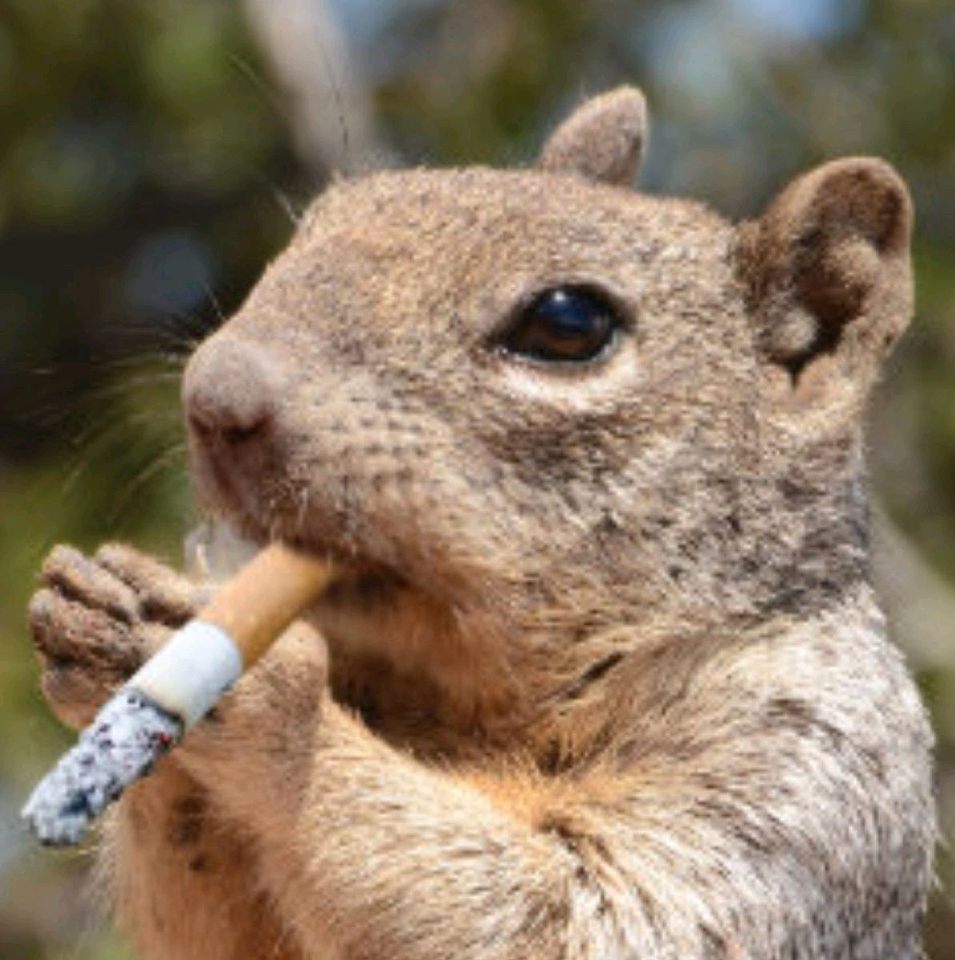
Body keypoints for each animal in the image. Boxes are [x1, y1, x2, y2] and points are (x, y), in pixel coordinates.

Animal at [29, 87, 935, 960]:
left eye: (568, 322)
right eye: (312, 226)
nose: (213, 397)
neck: (465, 705)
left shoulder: (809, 781)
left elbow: (584, 922)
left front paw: (265, 687)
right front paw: (106, 604)